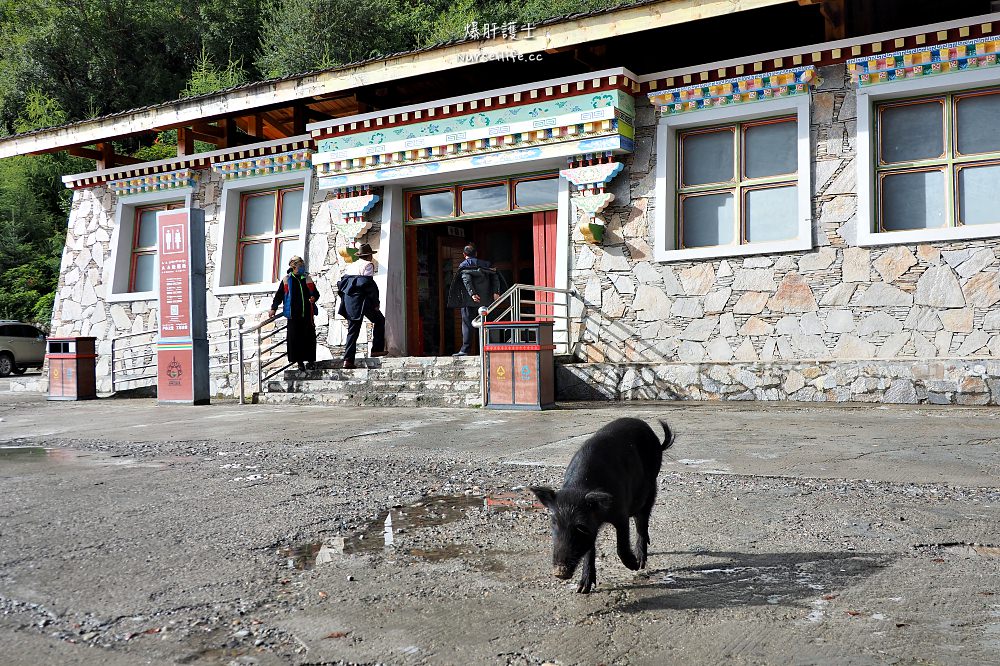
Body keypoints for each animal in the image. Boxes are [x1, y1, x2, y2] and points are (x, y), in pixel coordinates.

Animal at [532, 418, 672, 592]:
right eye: (554, 523)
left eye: (580, 526)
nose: (559, 573)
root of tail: (656, 439)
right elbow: (589, 549)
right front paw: (582, 589)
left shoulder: (620, 513)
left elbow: (621, 545)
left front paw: (633, 566)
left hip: (650, 489)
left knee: (642, 520)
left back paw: (640, 562)